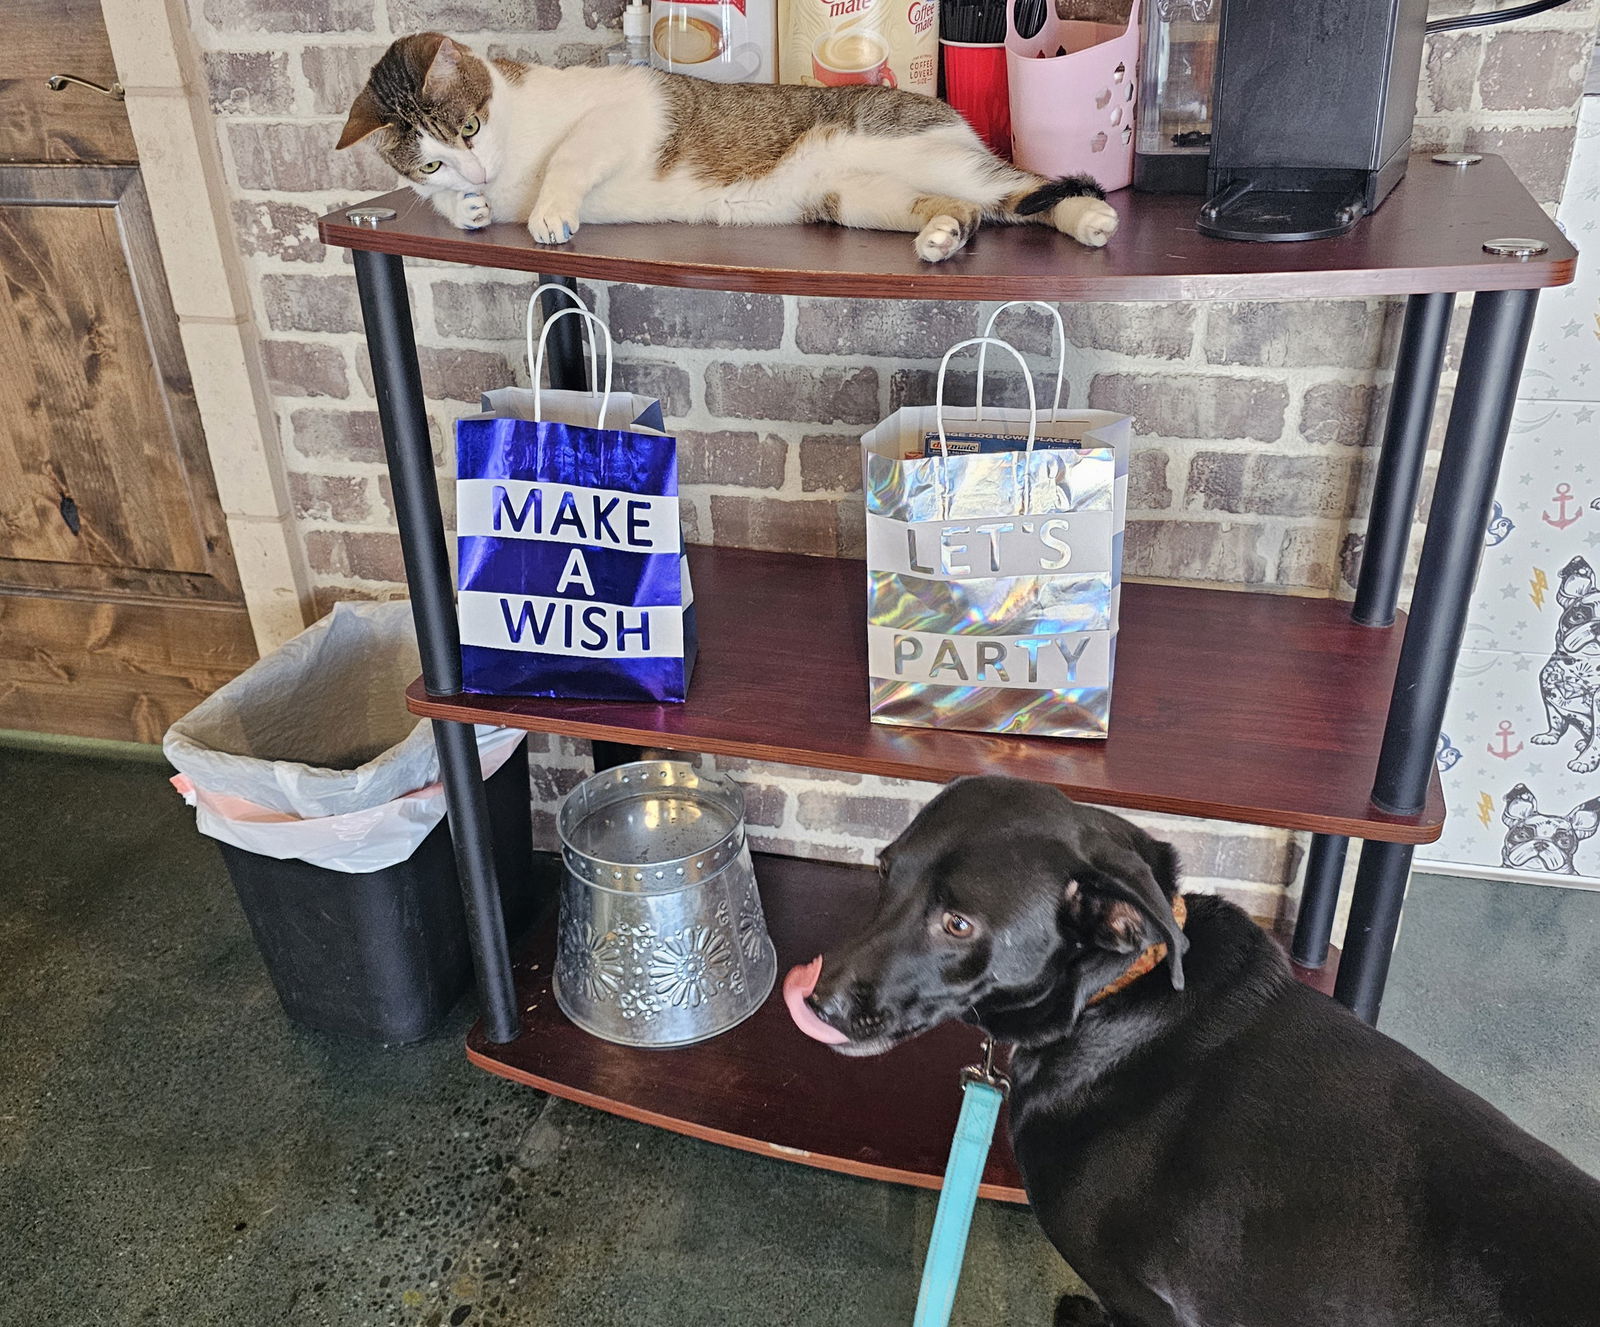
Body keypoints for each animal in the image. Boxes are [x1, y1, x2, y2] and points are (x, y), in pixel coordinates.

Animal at [336, 33, 1113, 260]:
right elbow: (448, 206)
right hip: (855, 199)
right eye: (430, 159)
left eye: (470, 127)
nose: (475, 169)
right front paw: (464, 209)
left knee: (1021, 184)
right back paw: (943, 235)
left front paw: (550, 211)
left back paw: (1092, 219)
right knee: (973, 208)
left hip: (925, 153)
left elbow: (571, 155)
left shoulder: (627, 106)